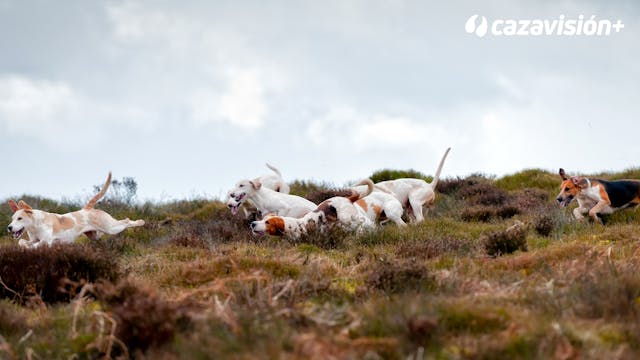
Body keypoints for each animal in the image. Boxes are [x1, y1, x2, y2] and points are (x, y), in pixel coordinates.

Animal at [6, 172, 146, 248]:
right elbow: (23, 242)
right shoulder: (34, 239)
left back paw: (140, 222)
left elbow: (37, 244)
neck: (35, 224)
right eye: (12, 219)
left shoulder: (46, 240)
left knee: (126, 221)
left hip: (111, 228)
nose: (9, 227)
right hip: (94, 235)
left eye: (20, 218)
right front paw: (25, 247)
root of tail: (88, 208)